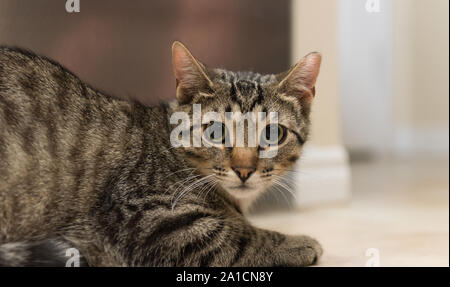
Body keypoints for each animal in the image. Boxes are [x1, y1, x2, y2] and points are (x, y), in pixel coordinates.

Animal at [0, 42, 324, 268]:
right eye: (216, 131)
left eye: (272, 134)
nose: (244, 170)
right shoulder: (147, 217)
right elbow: (238, 237)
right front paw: (297, 243)